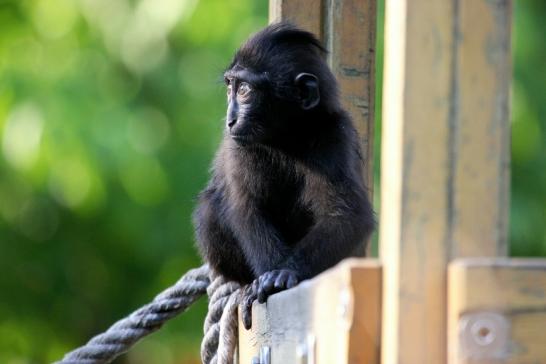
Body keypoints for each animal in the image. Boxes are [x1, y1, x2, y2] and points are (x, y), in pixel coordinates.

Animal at [191, 23, 374, 330]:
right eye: (230, 87)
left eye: (245, 90)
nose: (230, 120)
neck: (285, 140)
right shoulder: (239, 146)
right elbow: (246, 208)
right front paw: (268, 277)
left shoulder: (336, 135)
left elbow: (347, 213)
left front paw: (284, 273)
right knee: (208, 209)